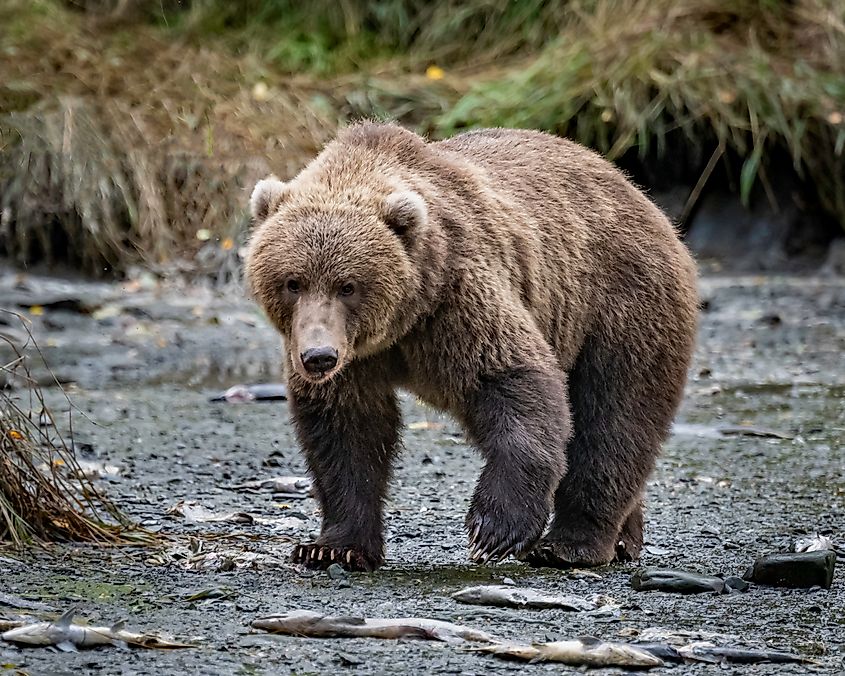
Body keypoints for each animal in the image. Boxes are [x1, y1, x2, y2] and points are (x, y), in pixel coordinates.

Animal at [245, 122, 698, 572]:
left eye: (348, 286)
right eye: (293, 282)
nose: (319, 357)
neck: (400, 324)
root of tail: (642, 197)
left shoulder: (457, 297)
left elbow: (514, 380)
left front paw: (493, 530)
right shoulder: (357, 359)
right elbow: (346, 432)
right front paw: (332, 546)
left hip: (618, 305)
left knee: (614, 418)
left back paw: (572, 544)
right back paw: (623, 538)